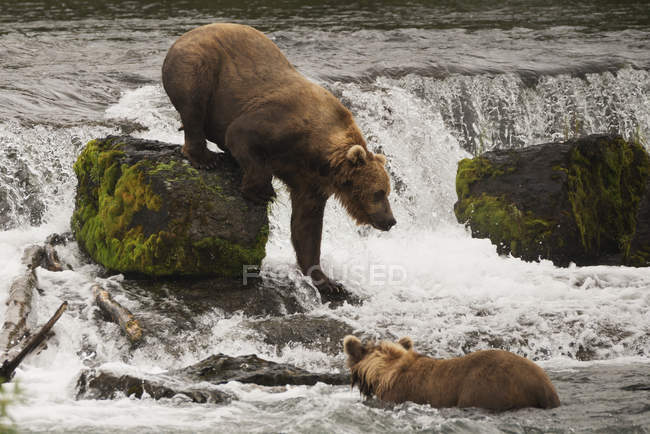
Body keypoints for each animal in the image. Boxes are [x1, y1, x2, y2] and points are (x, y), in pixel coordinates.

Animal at [162, 22, 394, 292]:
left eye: (386, 192)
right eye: (378, 192)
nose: (391, 220)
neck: (319, 153)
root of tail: (183, 36)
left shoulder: (311, 180)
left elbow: (307, 225)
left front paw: (327, 281)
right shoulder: (283, 123)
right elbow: (241, 134)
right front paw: (262, 191)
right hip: (199, 63)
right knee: (194, 102)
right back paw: (204, 157)